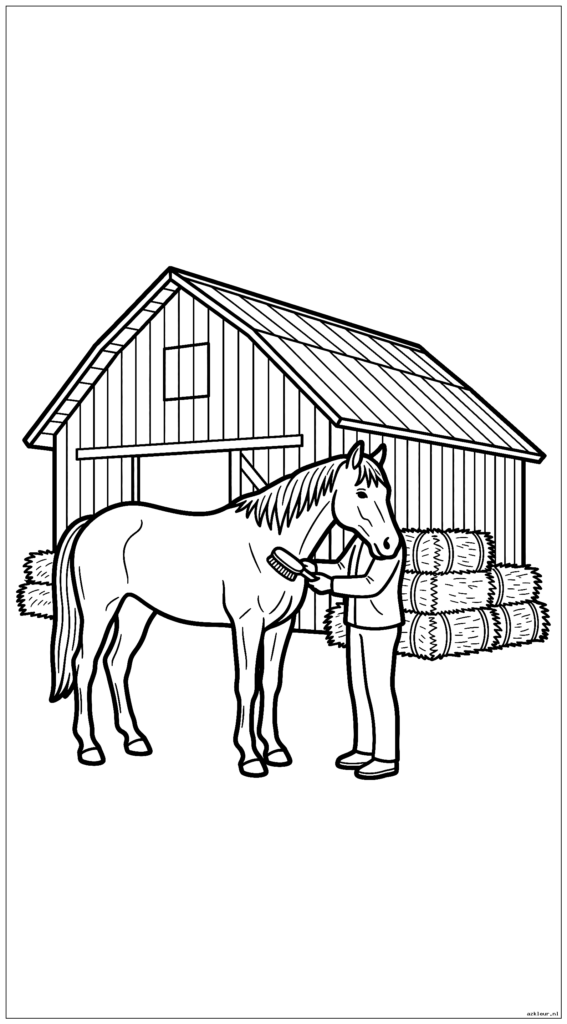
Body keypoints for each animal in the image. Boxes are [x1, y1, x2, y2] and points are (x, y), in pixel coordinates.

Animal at [50, 440, 402, 776]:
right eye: (361, 492)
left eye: (387, 492)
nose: (390, 545)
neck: (267, 545)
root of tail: (90, 522)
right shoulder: (247, 624)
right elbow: (246, 684)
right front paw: (251, 756)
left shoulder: (280, 626)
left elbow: (270, 683)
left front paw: (274, 750)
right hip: (100, 610)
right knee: (85, 665)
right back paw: (90, 747)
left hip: (136, 611)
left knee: (117, 663)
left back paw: (134, 739)